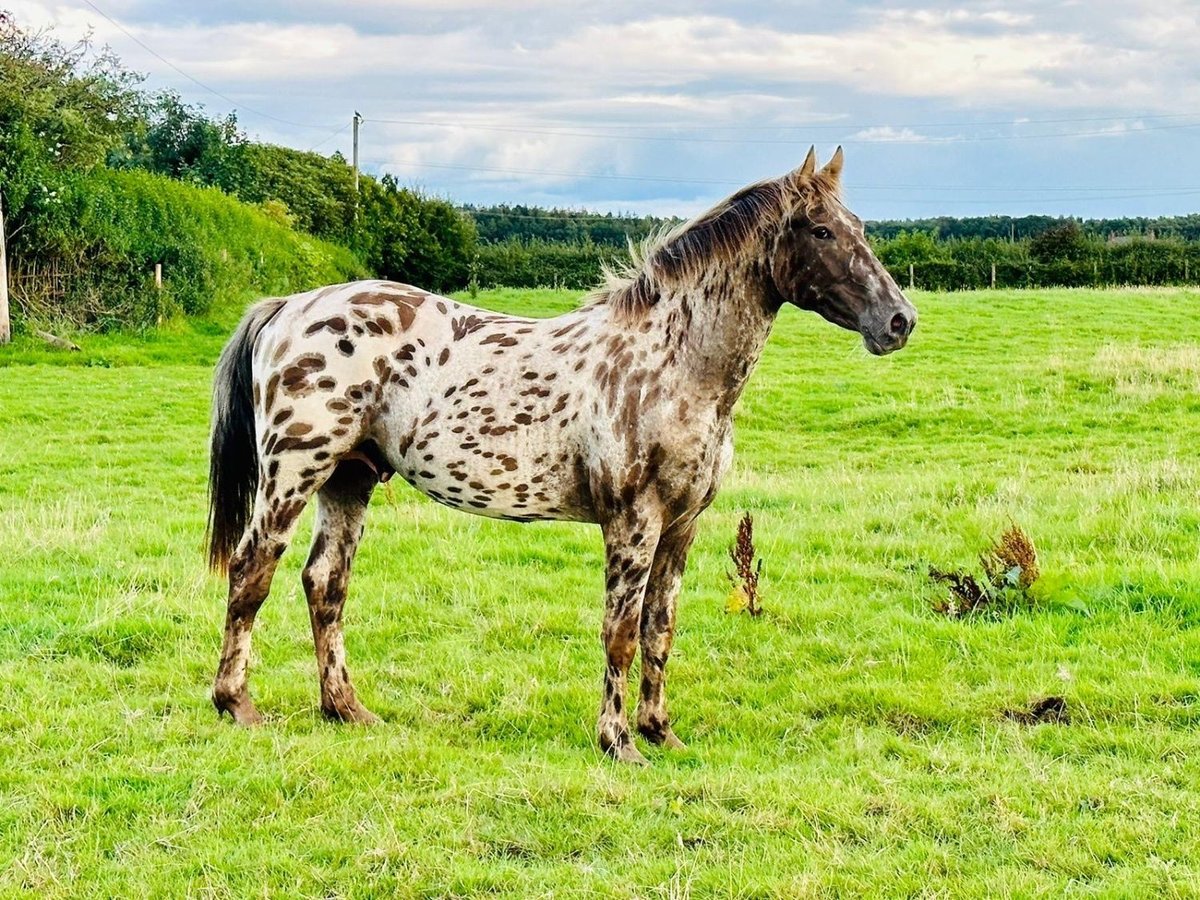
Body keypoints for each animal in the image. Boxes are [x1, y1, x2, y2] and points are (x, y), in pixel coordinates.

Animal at [208, 148, 916, 768]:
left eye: (860, 226)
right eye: (821, 230)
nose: (899, 321)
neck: (671, 365)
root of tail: (290, 307)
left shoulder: (682, 525)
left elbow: (660, 628)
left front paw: (660, 731)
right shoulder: (633, 521)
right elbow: (620, 633)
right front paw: (619, 743)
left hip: (348, 479)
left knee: (325, 583)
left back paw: (346, 709)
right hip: (294, 474)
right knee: (251, 573)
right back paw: (237, 705)